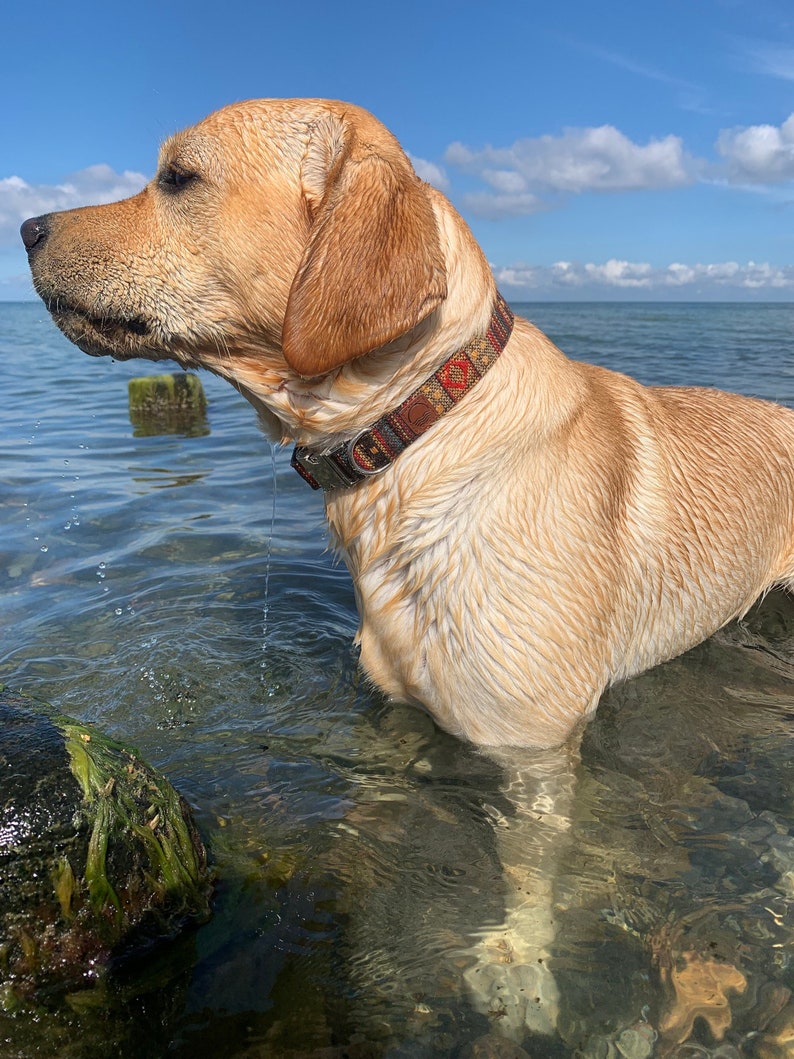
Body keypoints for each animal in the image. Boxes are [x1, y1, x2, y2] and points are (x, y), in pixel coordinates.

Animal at [20, 99, 794, 1042]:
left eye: (178, 178)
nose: (25, 227)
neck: (421, 427)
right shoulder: (393, 717)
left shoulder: (535, 751)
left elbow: (536, 864)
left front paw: (520, 955)